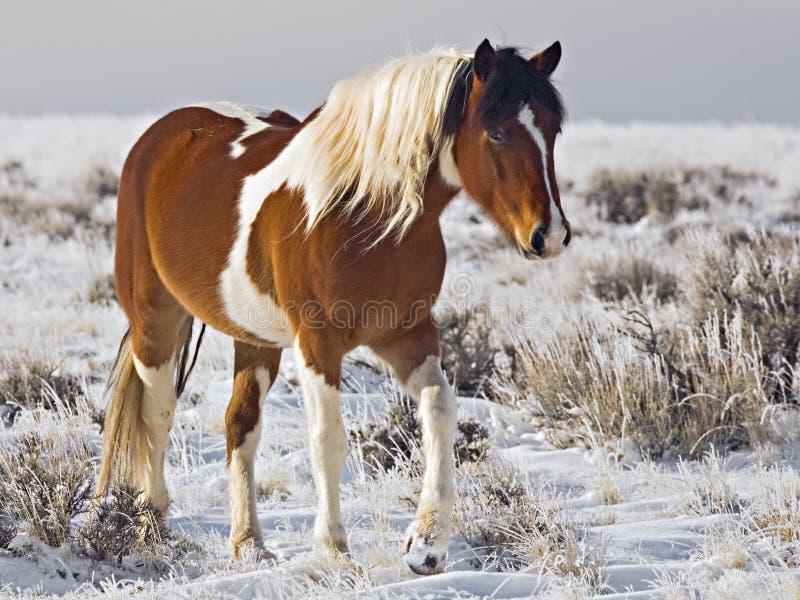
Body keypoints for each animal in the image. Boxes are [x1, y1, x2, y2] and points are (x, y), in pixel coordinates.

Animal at [97, 39, 568, 576]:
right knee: (157, 414)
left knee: (240, 425)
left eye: (553, 129)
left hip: (254, 338)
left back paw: (248, 544)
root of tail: (157, 139)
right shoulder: (318, 343)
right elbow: (328, 441)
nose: (549, 235)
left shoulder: (407, 335)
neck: (365, 212)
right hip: (155, 321)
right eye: (496, 131)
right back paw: (153, 528)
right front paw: (335, 549)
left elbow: (440, 409)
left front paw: (427, 543)